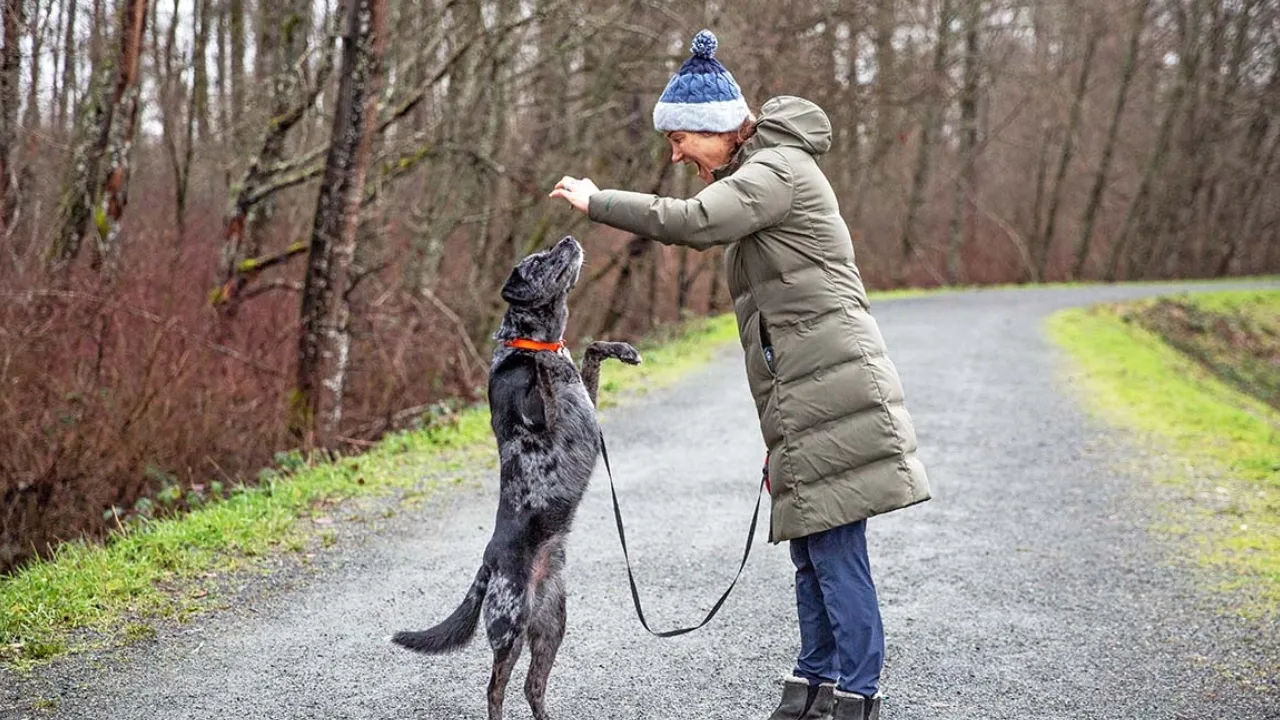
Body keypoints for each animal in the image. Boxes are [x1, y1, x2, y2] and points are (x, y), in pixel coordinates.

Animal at [391, 235, 640, 717]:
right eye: (538, 260)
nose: (568, 239)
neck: (538, 341)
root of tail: (488, 563)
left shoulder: (586, 400)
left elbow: (590, 350)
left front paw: (622, 348)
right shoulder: (540, 418)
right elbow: (545, 374)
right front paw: (540, 362)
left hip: (552, 625)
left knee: (532, 686)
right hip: (509, 628)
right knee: (495, 688)